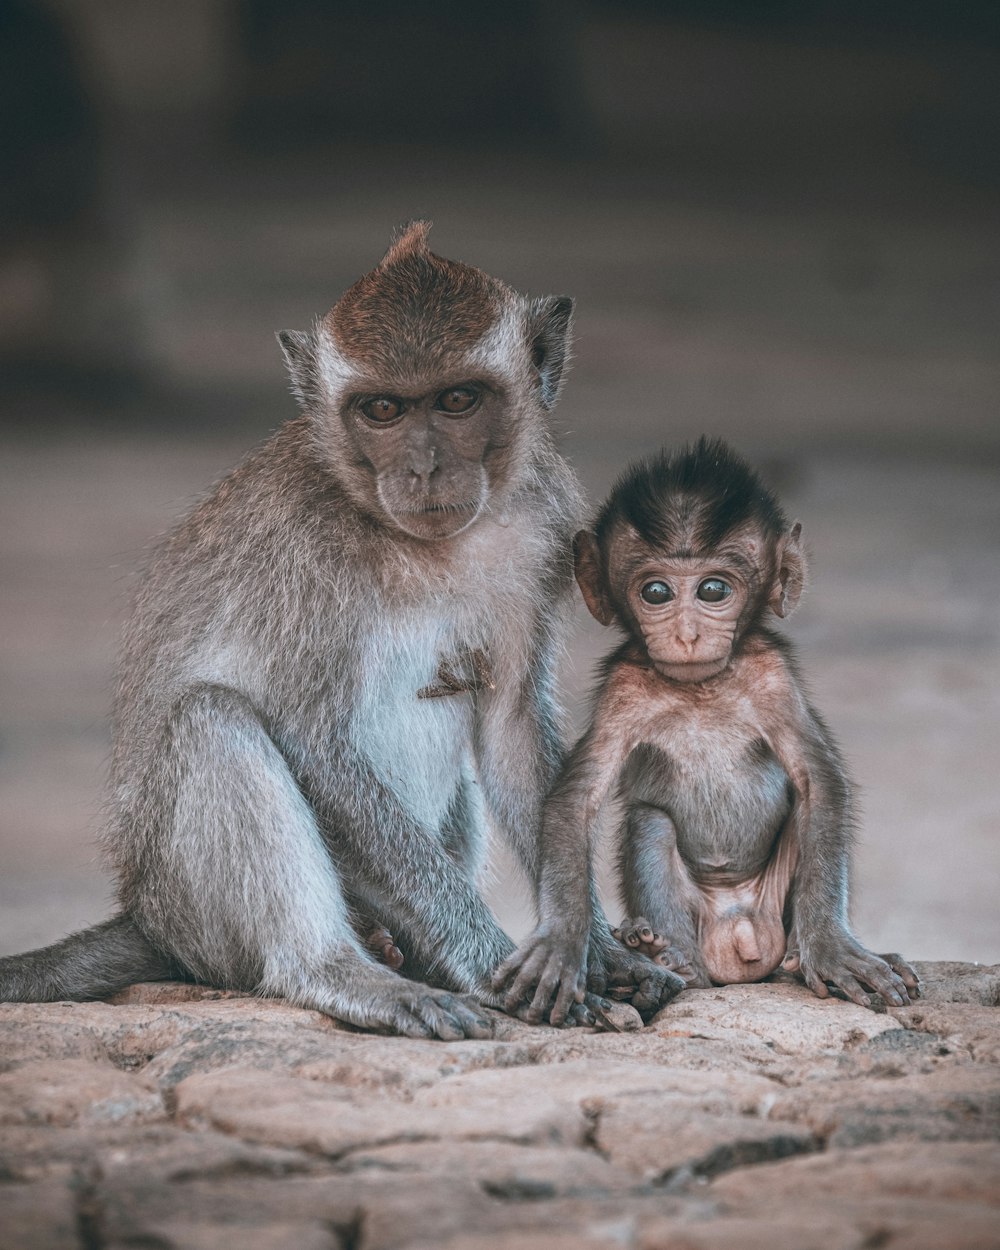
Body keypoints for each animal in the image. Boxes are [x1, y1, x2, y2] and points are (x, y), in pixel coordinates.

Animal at [1, 222, 680, 1035]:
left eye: (457, 400)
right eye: (382, 410)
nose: (424, 470)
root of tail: (145, 916)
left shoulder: (542, 530)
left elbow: (513, 728)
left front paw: (595, 951)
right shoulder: (302, 555)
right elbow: (312, 743)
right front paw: (493, 959)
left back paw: (402, 953)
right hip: (191, 911)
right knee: (211, 720)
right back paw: (345, 972)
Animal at [495, 435, 920, 1020]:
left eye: (714, 590)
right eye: (655, 593)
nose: (687, 634)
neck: (700, 689)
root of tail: (738, 937)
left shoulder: (772, 675)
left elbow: (819, 782)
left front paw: (834, 948)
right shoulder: (623, 688)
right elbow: (575, 798)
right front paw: (560, 942)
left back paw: (794, 960)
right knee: (650, 823)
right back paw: (671, 961)